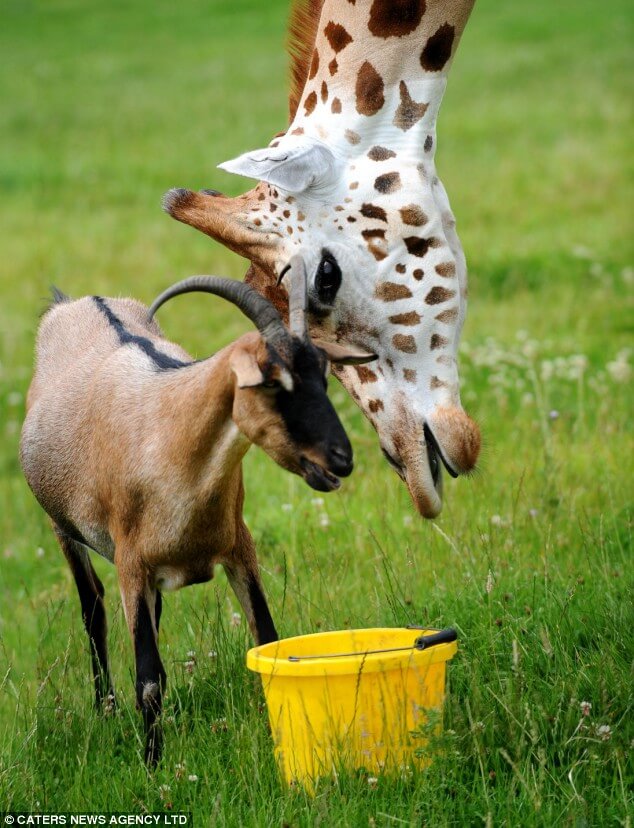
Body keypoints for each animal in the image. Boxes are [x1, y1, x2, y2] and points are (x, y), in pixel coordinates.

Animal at [20, 257, 375, 765]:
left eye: (325, 377)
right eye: (271, 380)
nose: (340, 460)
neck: (170, 434)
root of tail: (74, 302)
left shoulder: (238, 547)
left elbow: (266, 643)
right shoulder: (130, 563)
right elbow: (148, 682)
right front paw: (152, 765)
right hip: (63, 529)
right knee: (93, 608)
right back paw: (105, 709)